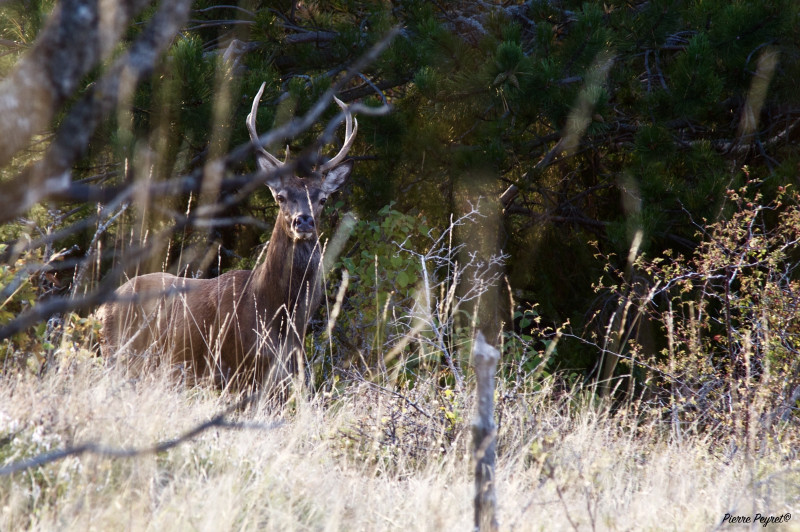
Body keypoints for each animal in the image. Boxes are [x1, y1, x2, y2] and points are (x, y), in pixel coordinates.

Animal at [98, 82, 357, 398]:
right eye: (281, 197)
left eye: (322, 199)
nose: (303, 220)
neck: (275, 312)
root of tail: (101, 309)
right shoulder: (235, 369)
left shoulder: (286, 373)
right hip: (120, 355)